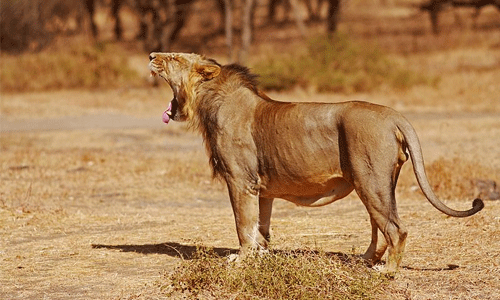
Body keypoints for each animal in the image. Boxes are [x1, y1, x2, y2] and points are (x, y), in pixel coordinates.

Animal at [148, 52, 484, 274]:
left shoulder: (240, 181)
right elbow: (261, 227)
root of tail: (393, 115)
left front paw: (241, 260)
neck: (208, 100)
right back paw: (365, 260)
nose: (151, 55)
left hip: (370, 181)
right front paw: (261, 257)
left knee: (395, 228)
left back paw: (386, 271)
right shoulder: (262, 190)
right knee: (380, 227)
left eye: (174, 58)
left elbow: (243, 225)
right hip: (378, 183)